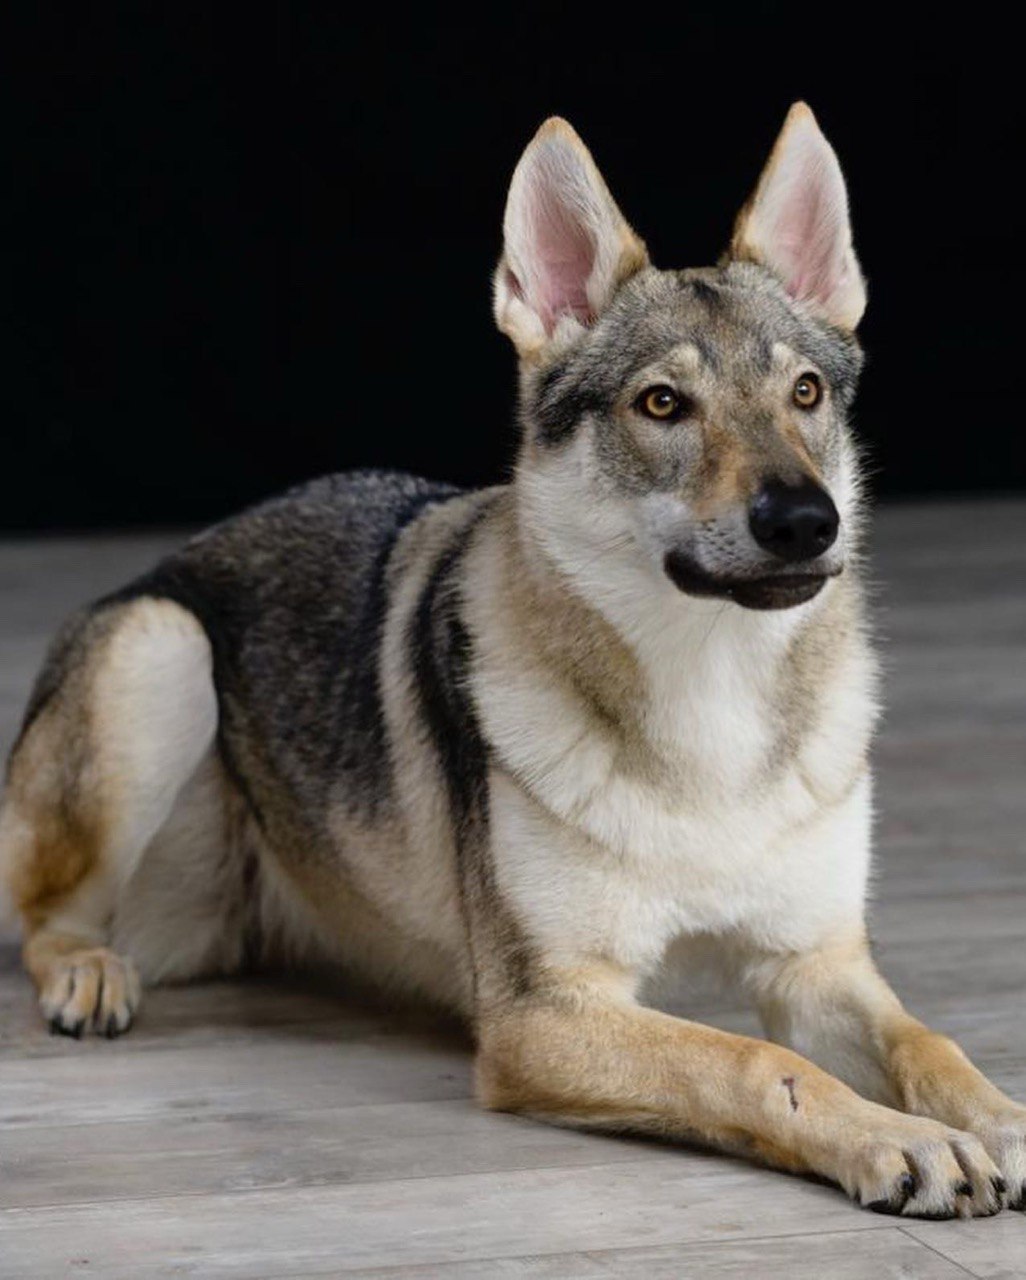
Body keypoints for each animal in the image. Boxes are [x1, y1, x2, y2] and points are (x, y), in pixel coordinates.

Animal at [3, 103, 1024, 1218]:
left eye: (804, 393)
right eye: (662, 405)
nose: (806, 520)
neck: (709, 697)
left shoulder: (815, 967)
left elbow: (932, 1045)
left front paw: (998, 1118)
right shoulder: (546, 1013)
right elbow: (763, 1066)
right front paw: (904, 1142)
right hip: (162, 649)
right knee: (46, 916)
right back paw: (87, 971)